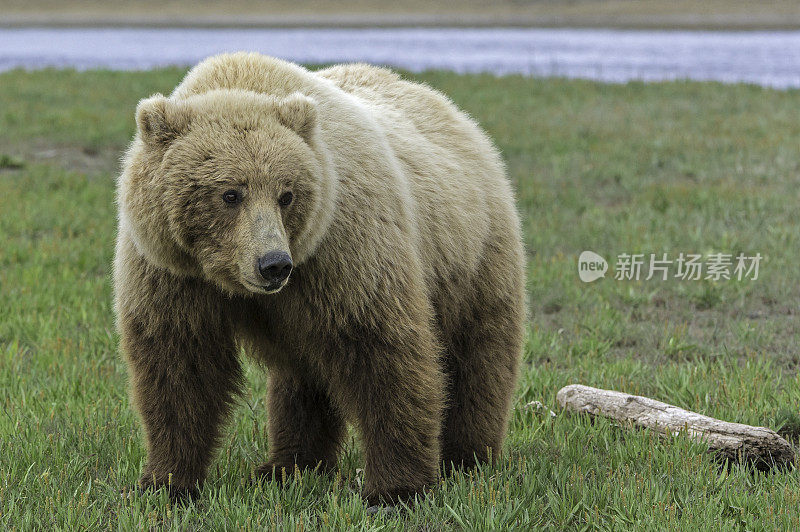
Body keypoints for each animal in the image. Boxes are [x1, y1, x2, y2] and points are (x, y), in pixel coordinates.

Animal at [112, 52, 524, 504]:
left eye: (286, 194)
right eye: (230, 194)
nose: (273, 264)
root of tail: (456, 114)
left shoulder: (343, 251)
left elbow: (383, 353)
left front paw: (395, 489)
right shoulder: (172, 272)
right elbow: (181, 367)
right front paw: (165, 482)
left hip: (472, 257)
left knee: (478, 355)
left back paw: (469, 457)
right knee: (301, 377)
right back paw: (288, 466)